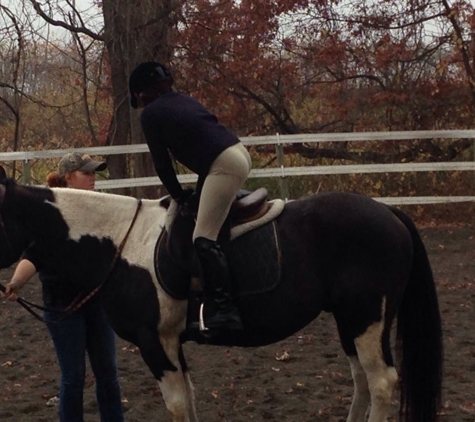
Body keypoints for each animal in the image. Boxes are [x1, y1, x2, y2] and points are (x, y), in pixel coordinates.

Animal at [0, 167, 442, 422]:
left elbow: (178, 406)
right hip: (349, 322)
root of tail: (389, 213)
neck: (121, 243)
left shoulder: (154, 344)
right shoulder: (172, 343)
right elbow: (191, 399)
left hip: (367, 319)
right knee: (362, 381)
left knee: (381, 383)